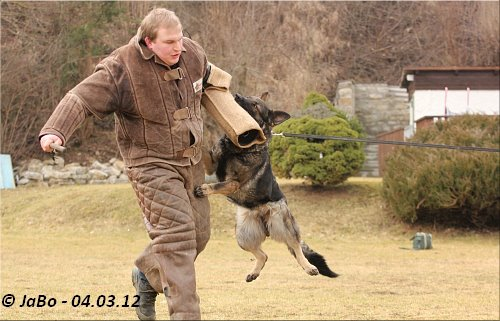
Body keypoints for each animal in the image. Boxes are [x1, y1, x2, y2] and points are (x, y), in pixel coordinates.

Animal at [193, 92, 338, 280]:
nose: (237, 95)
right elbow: (204, 149)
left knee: (296, 246)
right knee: (264, 255)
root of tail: (261, 214)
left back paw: (309, 267)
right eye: (248, 97)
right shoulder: (211, 165)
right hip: (243, 236)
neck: (240, 147)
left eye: (255, 105)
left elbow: (218, 185)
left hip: (283, 227)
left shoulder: (233, 183)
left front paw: (205, 189)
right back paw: (254, 273)